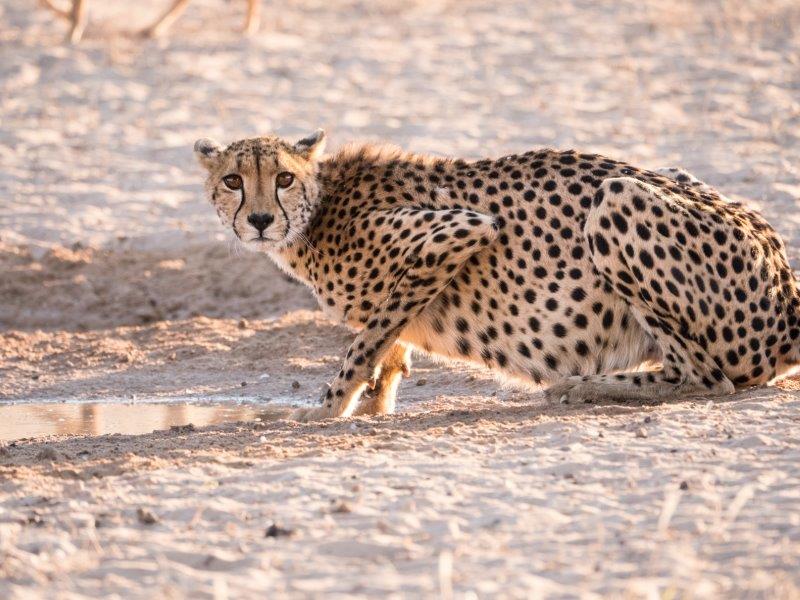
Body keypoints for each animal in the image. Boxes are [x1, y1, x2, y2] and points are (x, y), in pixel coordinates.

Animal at [192, 131, 800, 422]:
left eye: (284, 178)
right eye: (232, 181)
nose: (260, 220)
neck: (319, 208)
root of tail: (786, 284)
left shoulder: (461, 229)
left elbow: (365, 341)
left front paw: (327, 408)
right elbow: (386, 342)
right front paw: (374, 401)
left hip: (616, 198)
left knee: (708, 377)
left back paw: (583, 386)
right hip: (669, 176)